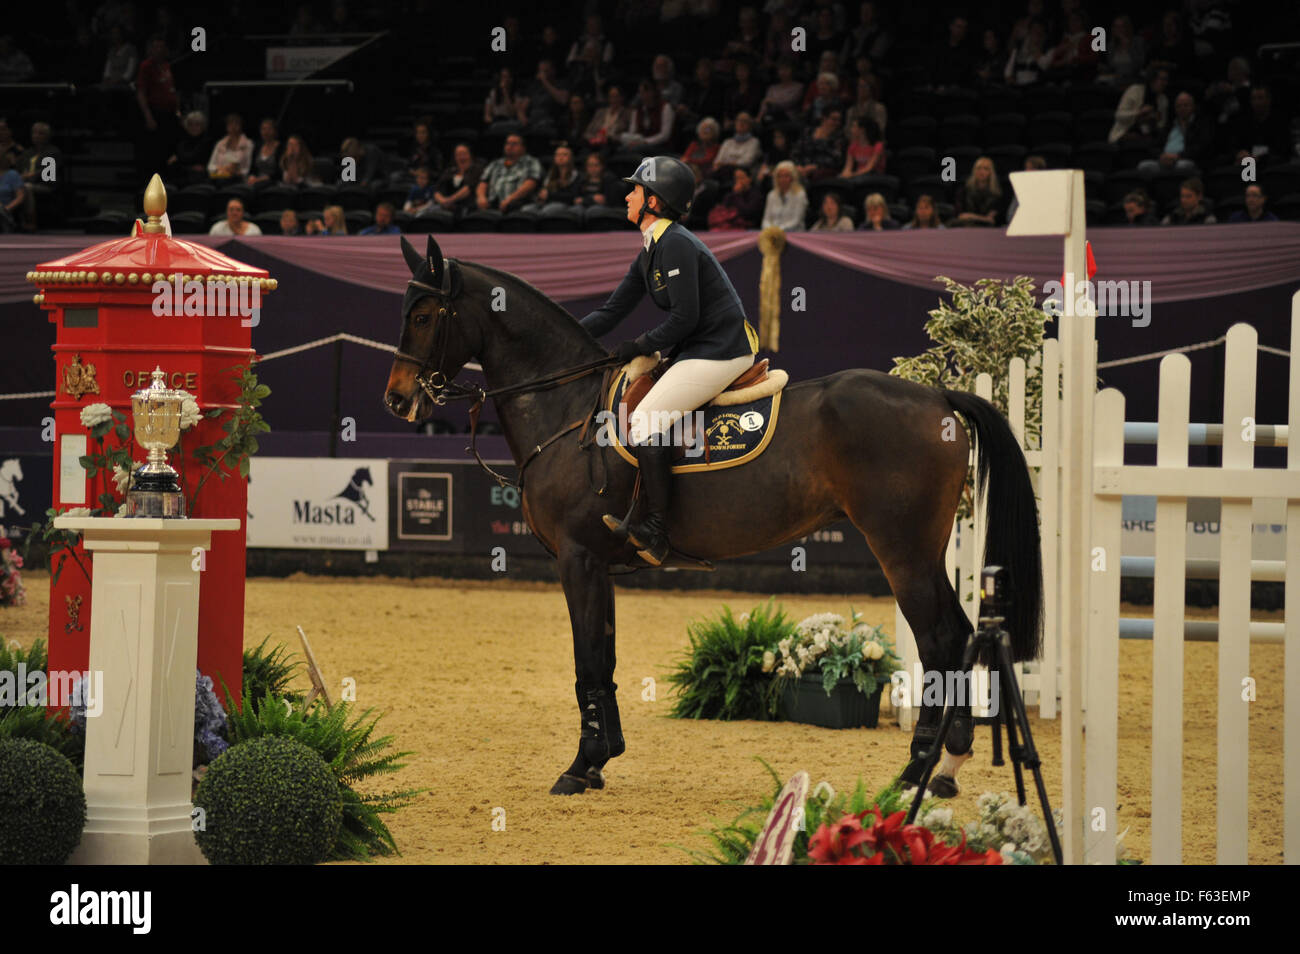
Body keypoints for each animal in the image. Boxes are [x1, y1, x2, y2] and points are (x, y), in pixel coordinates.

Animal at [379, 237, 1040, 800]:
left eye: (425, 315)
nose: (397, 399)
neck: (566, 406)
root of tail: (937, 397)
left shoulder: (578, 559)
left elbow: (586, 661)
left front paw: (580, 765)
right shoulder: (599, 567)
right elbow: (604, 661)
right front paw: (601, 759)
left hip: (902, 550)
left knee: (941, 639)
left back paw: (918, 768)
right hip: (922, 551)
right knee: (957, 635)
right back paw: (947, 765)